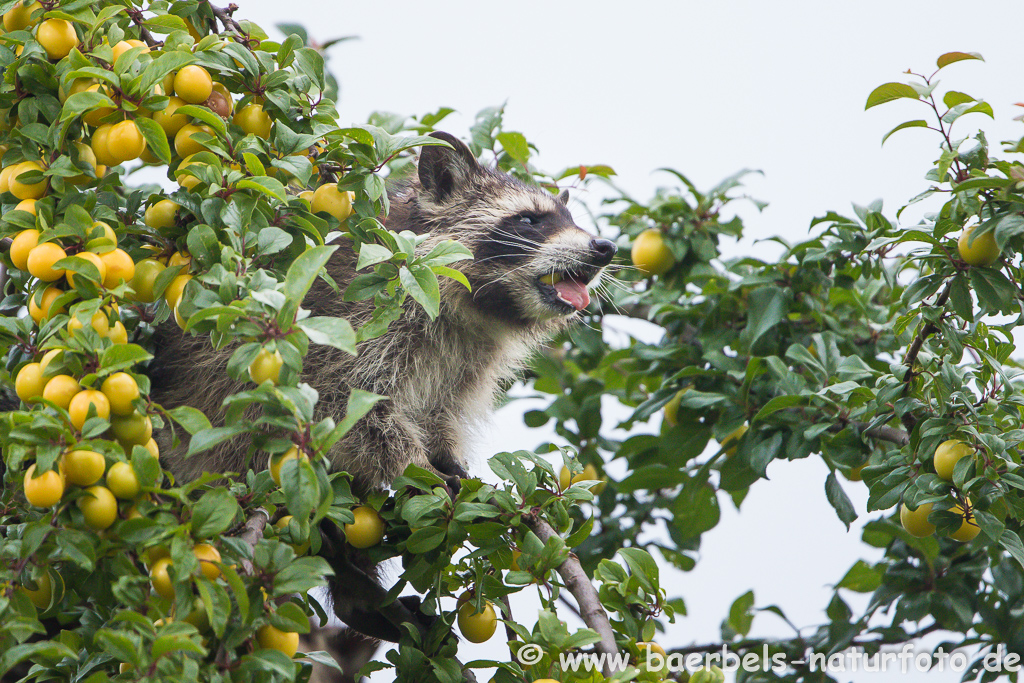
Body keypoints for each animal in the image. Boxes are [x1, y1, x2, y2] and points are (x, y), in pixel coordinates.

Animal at [149, 132, 614, 643]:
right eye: (530, 220)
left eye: (569, 219)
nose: (604, 247)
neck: (475, 306)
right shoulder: (353, 313)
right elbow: (347, 408)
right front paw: (419, 468)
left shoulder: (467, 358)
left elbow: (439, 411)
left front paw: (446, 457)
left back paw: (355, 592)